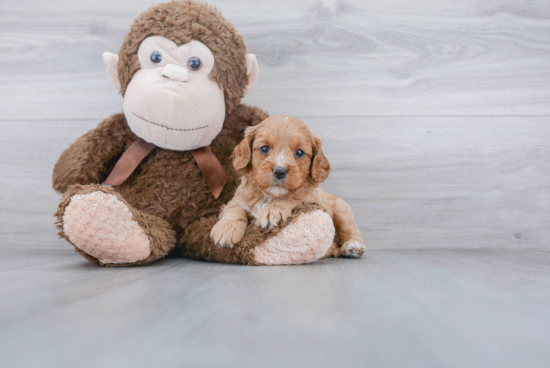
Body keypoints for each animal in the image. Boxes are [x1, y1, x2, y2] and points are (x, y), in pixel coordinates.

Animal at [211, 116, 366, 258]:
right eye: (264, 148)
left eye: (299, 152)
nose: (279, 171)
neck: (269, 196)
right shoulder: (236, 200)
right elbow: (234, 210)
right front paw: (226, 230)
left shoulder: (310, 199)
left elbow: (292, 198)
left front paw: (273, 211)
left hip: (342, 209)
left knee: (350, 230)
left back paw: (353, 246)